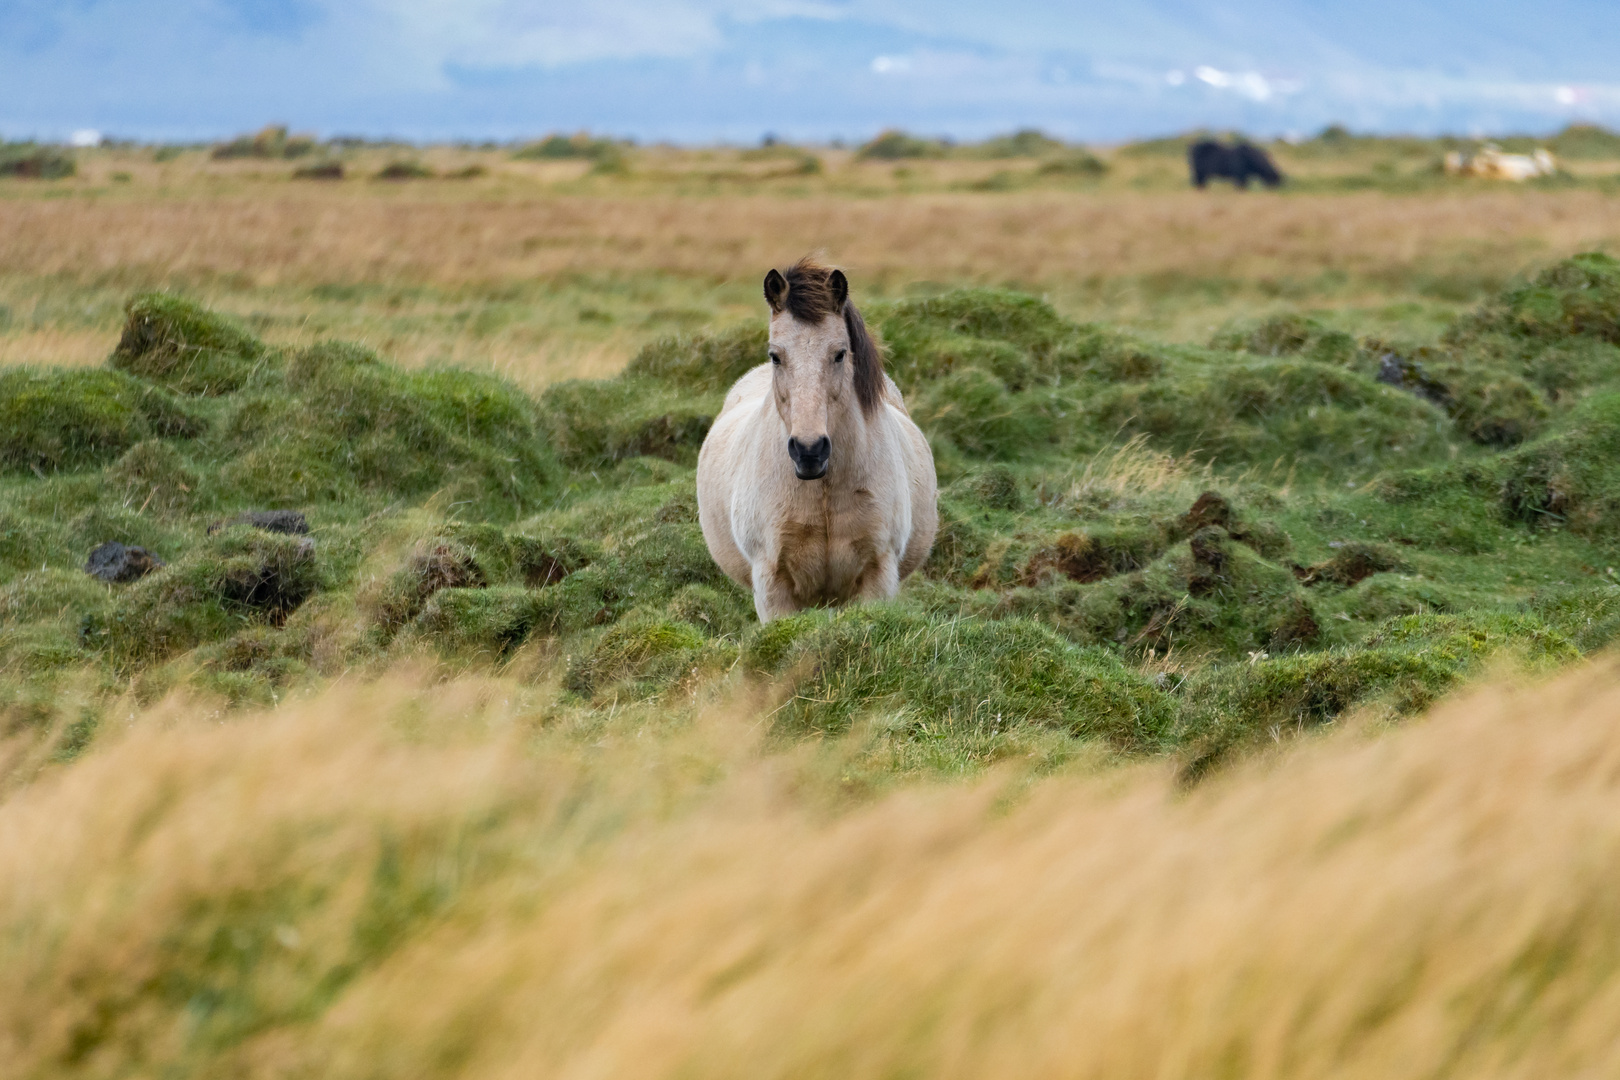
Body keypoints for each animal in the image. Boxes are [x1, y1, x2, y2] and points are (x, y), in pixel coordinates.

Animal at [696, 257, 939, 621]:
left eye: (840, 353)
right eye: (775, 355)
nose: (809, 451)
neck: (823, 490)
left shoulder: (877, 577)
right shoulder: (772, 587)